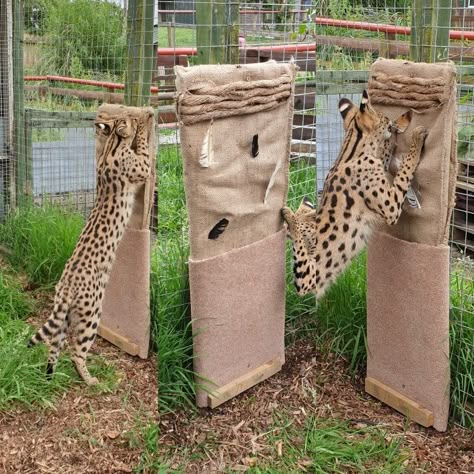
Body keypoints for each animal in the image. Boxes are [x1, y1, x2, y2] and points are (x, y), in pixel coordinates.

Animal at [27, 111, 152, 386]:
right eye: (127, 117)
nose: (130, 116)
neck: (112, 144)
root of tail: (66, 286)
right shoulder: (144, 167)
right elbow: (144, 146)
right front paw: (143, 121)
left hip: (65, 318)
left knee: (54, 346)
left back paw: (50, 375)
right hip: (92, 314)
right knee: (76, 352)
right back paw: (91, 380)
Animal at [284, 90, 428, 296]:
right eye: (386, 120)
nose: (392, 123)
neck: (352, 148)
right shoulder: (391, 207)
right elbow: (404, 170)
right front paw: (415, 137)